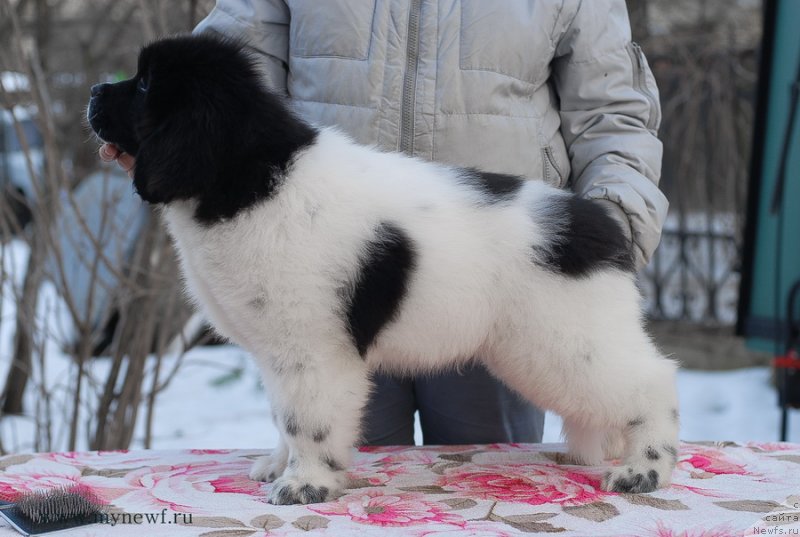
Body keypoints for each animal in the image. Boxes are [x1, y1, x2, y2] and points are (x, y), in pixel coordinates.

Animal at [86, 33, 676, 502]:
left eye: (145, 86)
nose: (92, 92)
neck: (252, 178)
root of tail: (596, 222)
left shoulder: (312, 349)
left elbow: (307, 420)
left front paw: (306, 483)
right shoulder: (280, 351)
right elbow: (283, 415)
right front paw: (279, 464)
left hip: (567, 340)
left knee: (653, 383)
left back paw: (644, 469)